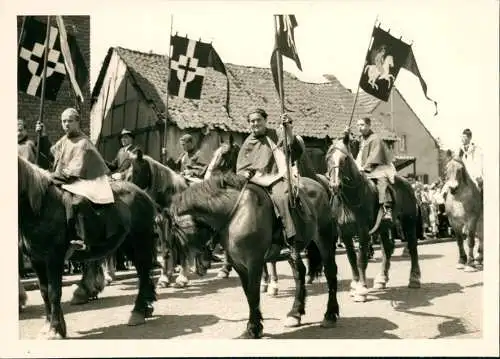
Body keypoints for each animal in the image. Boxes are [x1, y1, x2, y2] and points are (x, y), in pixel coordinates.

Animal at [18, 156, 156, 338]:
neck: (39, 207)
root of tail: (143, 194)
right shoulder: (37, 260)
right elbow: (44, 292)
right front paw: (52, 327)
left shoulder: (54, 259)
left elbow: (54, 292)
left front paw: (55, 329)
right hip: (128, 245)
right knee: (144, 274)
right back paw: (146, 308)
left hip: (140, 242)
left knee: (144, 274)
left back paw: (138, 312)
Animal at [165, 172, 340, 340]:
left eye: (177, 231)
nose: (198, 267)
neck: (236, 214)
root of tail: (319, 183)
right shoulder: (239, 264)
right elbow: (248, 293)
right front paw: (255, 326)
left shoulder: (254, 262)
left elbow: (254, 293)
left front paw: (254, 328)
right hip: (294, 251)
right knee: (299, 273)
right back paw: (295, 313)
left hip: (324, 237)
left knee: (330, 272)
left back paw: (330, 315)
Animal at [324, 138, 422, 304]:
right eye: (327, 158)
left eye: (345, 159)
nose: (335, 185)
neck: (350, 199)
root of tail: (408, 183)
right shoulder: (344, 233)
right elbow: (351, 259)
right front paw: (355, 285)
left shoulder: (363, 232)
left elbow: (361, 259)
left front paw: (361, 289)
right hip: (383, 227)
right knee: (387, 248)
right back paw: (382, 279)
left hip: (408, 222)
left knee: (412, 246)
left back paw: (414, 278)